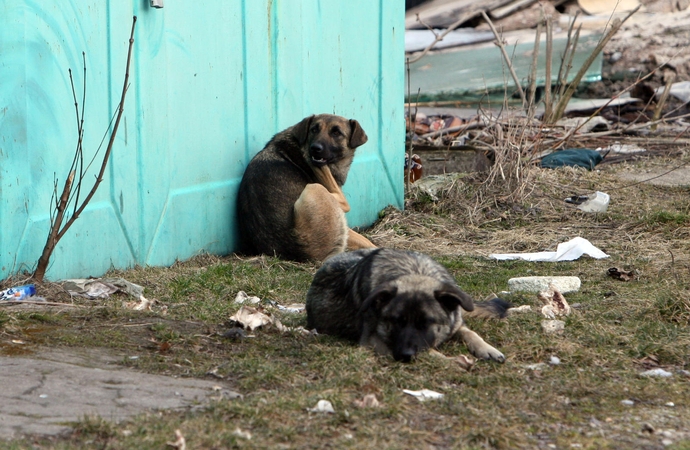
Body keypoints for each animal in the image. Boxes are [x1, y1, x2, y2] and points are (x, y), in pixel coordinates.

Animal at [304, 248, 508, 364]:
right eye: (396, 321)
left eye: (426, 323)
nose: (404, 355)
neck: (415, 271)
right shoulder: (373, 341)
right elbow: (428, 350)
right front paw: (450, 360)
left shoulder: (457, 324)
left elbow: (471, 333)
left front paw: (488, 349)